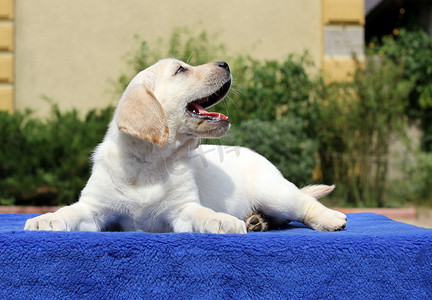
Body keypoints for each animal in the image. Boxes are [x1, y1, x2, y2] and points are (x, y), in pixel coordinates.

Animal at [24, 58, 348, 232]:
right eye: (181, 70)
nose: (225, 63)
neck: (150, 163)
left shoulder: (183, 210)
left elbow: (203, 214)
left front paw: (224, 221)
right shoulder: (94, 208)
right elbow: (70, 211)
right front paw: (45, 219)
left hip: (275, 192)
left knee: (303, 204)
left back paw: (329, 218)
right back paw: (257, 221)